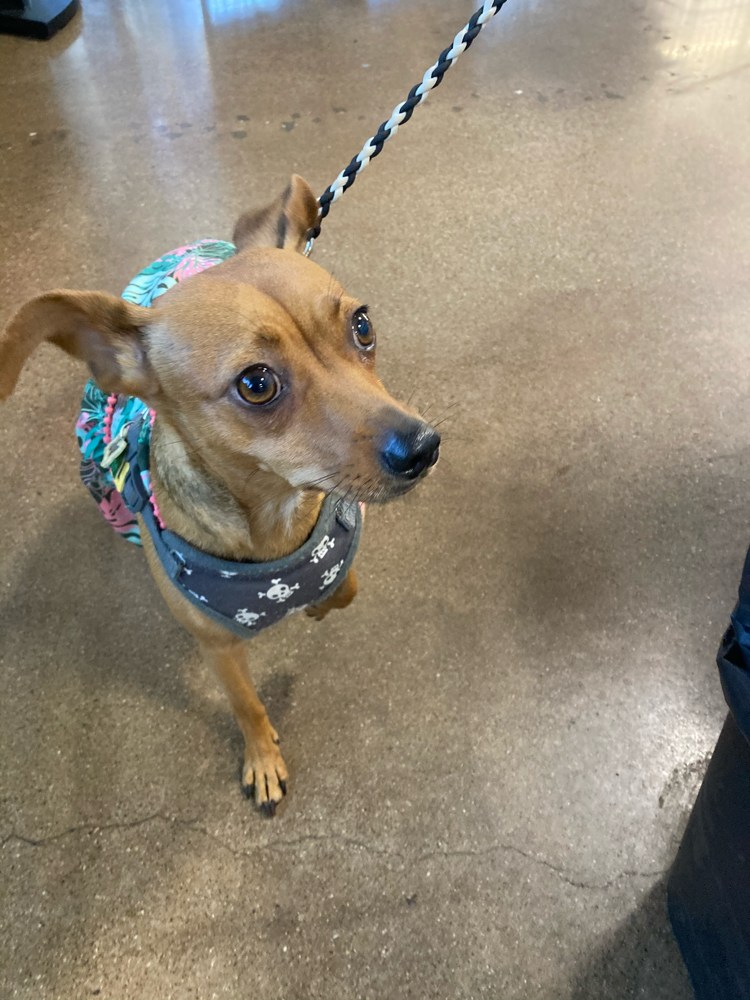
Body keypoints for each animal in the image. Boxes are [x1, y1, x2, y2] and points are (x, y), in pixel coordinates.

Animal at [0, 175, 440, 814]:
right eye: (256, 384)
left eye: (362, 326)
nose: (422, 447)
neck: (273, 524)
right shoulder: (217, 648)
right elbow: (247, 705)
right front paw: (262, 759)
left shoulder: (338, 544)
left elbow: (344, 587)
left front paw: (314, 603)